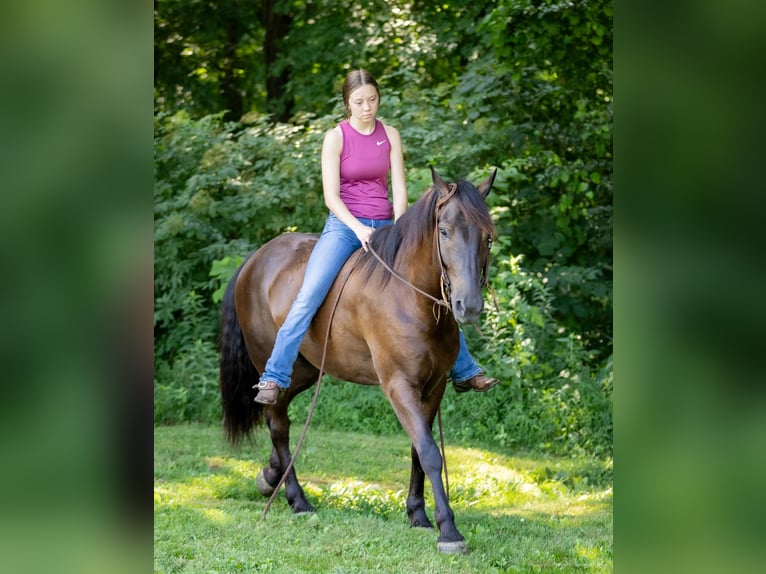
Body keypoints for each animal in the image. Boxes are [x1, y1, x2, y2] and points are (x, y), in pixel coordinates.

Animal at [219, 165, 500, 552]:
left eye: (487, 238)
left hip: (305, 371)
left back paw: (270, 476)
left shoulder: (433, 388)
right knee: (278, 424)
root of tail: (255, 259)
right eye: (443, 231)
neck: (408, 297)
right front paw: (449, 531)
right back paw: (297, 499)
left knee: (277, 416)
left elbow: (418, 450)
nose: (468, 306)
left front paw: (418, 514)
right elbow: (430, 452)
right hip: (271, 364)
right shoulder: (399, 385)